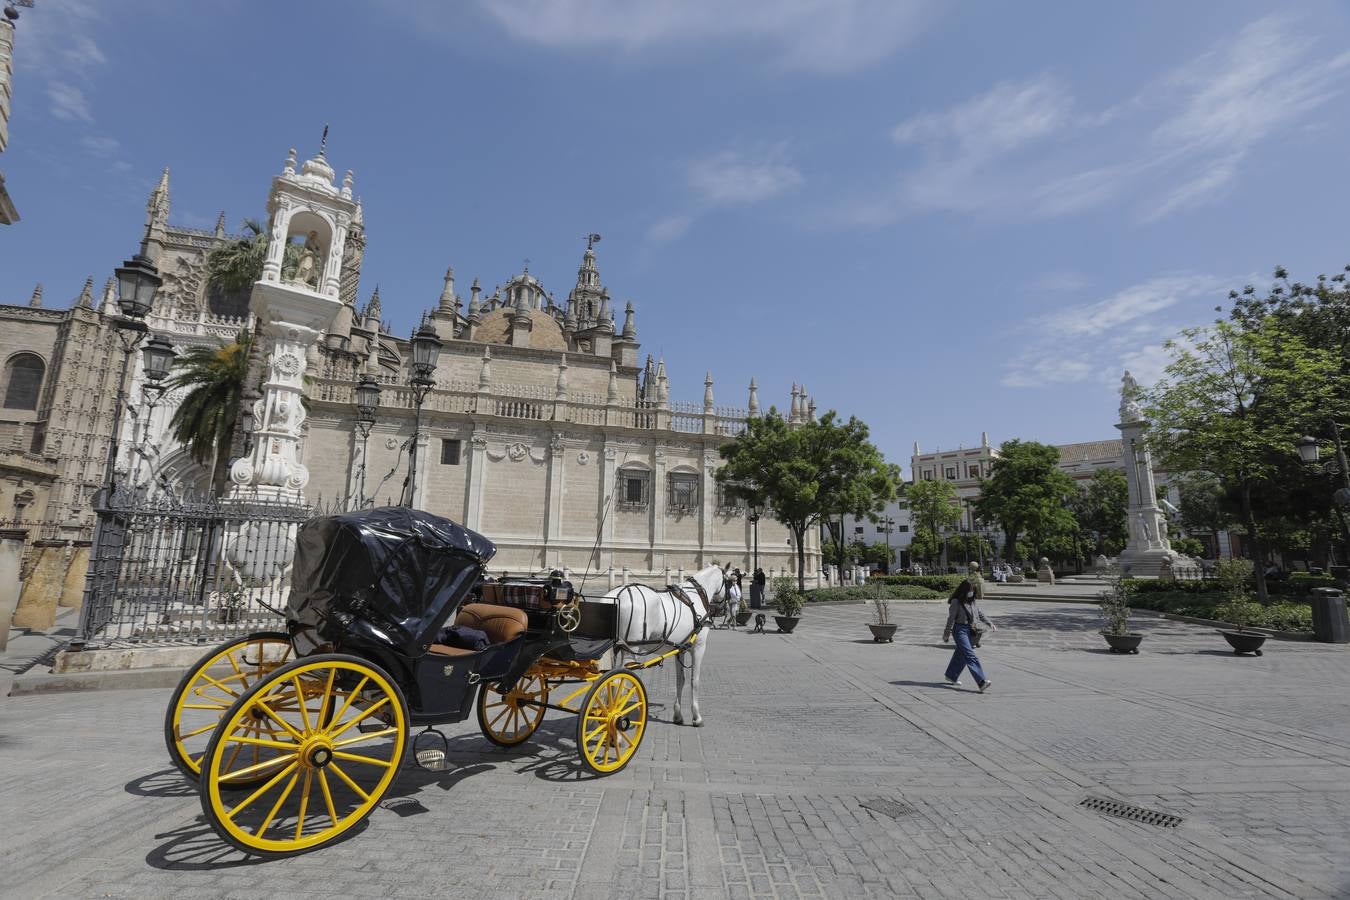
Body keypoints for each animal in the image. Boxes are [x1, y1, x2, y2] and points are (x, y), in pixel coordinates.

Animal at [604, 566, 723, 728]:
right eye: (733, 581)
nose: (721, 608)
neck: (695, 596)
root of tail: (616, 595)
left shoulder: (680, 650)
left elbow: (681, 680)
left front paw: (678, 715)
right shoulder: (699, 647)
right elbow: (695, 681)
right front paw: (696, 717)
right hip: (631, 651)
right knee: (619, 683)